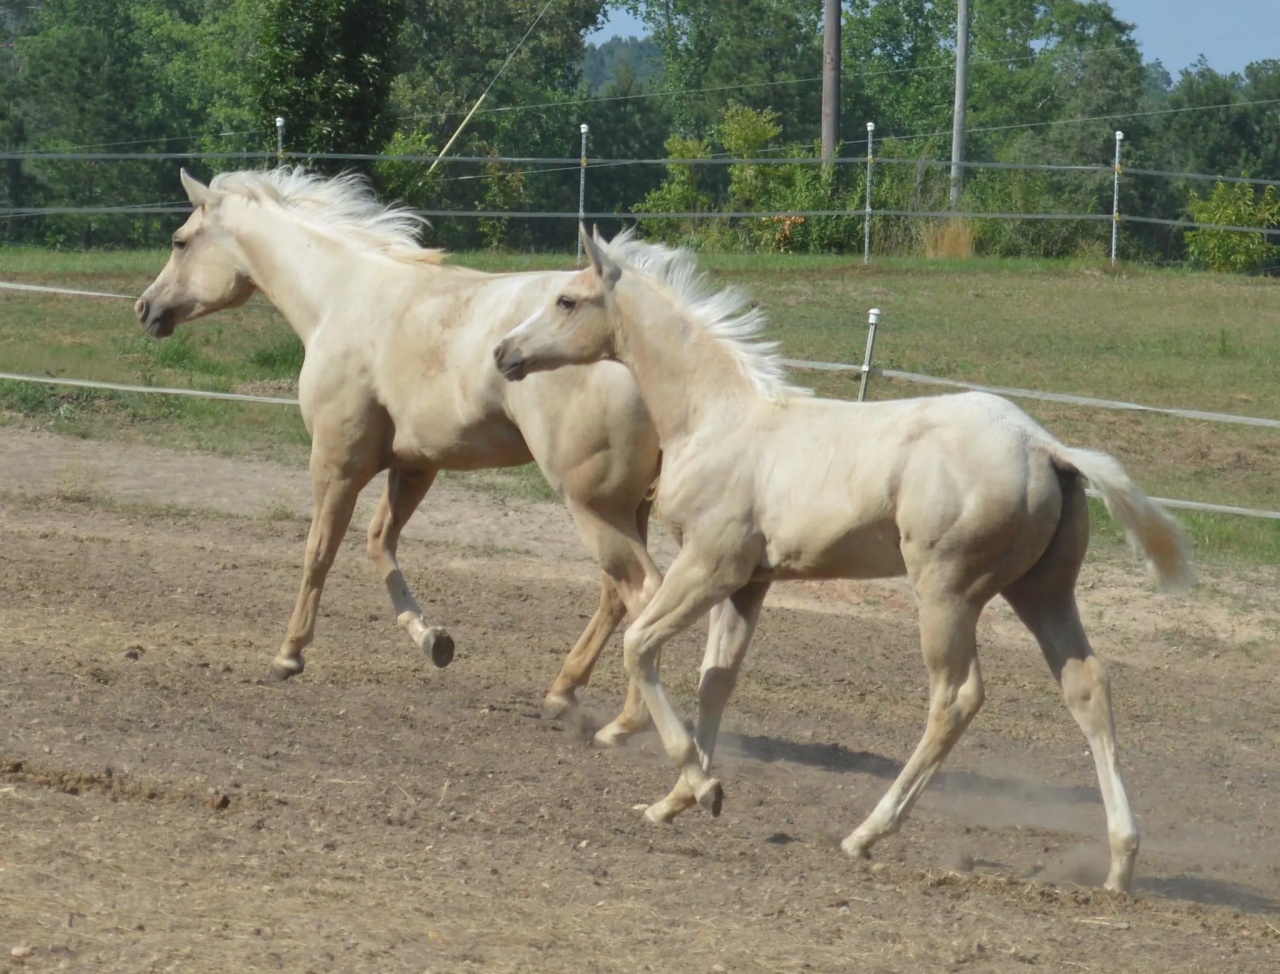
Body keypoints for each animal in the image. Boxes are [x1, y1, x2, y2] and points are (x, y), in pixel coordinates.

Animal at [137, 167, 660, 732]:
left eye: (179, 241)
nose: (145, 308)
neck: (342, 297)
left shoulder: (337, 461)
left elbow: (318, 552)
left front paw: (288, 655)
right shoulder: (415, 466)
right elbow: (378, 543)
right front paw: (433, 641)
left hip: (593, 504)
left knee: (640, 592)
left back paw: (626, 720)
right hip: (628, 506)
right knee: (619, 596)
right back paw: (564, 693)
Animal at [494, 226, 1192, 890]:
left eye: (566, 299)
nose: (504, 353)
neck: (716, 418)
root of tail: (1043, 445)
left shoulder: (710, 564)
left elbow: (640, 644)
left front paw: (696, 782)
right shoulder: (750, 583)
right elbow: (717, 680)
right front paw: (677, 801)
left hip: (949, 591)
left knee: (956, 698)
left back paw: (866, 833)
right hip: (1042, 591)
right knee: (1087, 686)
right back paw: (1120, 865)